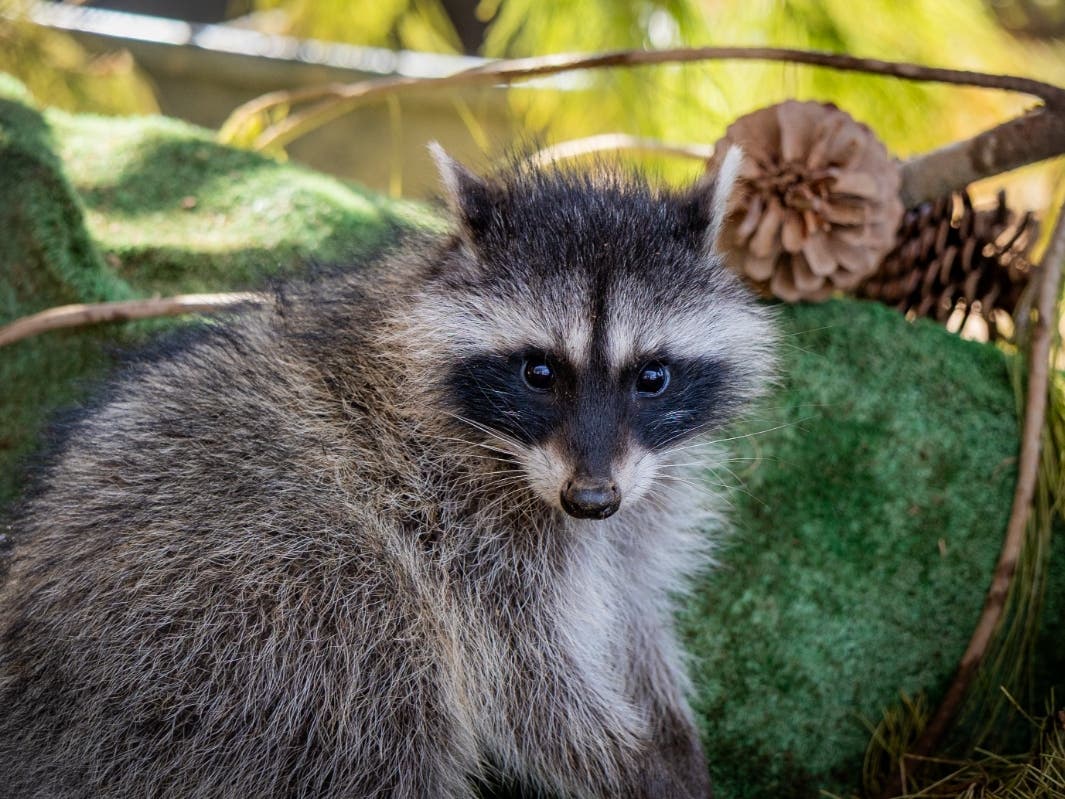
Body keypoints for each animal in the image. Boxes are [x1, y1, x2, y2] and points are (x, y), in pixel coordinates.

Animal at [0, 145, 774, 798]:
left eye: (652, 377)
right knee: (387, 681)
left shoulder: (637, 499)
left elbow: (634, 612)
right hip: (251, 598)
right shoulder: (452, 517)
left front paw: (670, 732)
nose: (589, 498)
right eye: (538, 371)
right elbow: (522, 677)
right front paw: (627, 761)